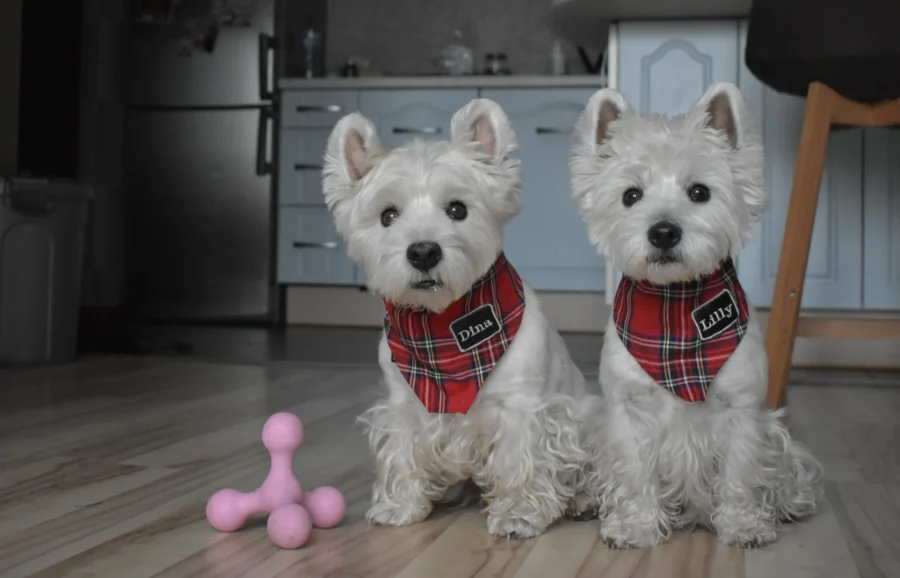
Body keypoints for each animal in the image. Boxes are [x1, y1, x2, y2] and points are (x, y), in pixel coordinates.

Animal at [320, 98, 600, 536]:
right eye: (387, 216)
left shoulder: (522, 409)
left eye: (457, 209)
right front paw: (401, 506)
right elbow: (402, 451)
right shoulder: (404, 404)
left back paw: (583, 501)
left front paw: (518, 514)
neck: (444, 330)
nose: (423, 252)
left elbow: (522, 461)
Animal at [568, 82, 824, 548]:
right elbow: (634, 472)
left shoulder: (741, 407)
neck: (677, 313)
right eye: (631, 195)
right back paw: (585, 502)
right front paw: (636, 526)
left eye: (700, 192)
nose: (664, 232)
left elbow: (740, 471)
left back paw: (788, 506)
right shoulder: (628, 411)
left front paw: (743, 524)